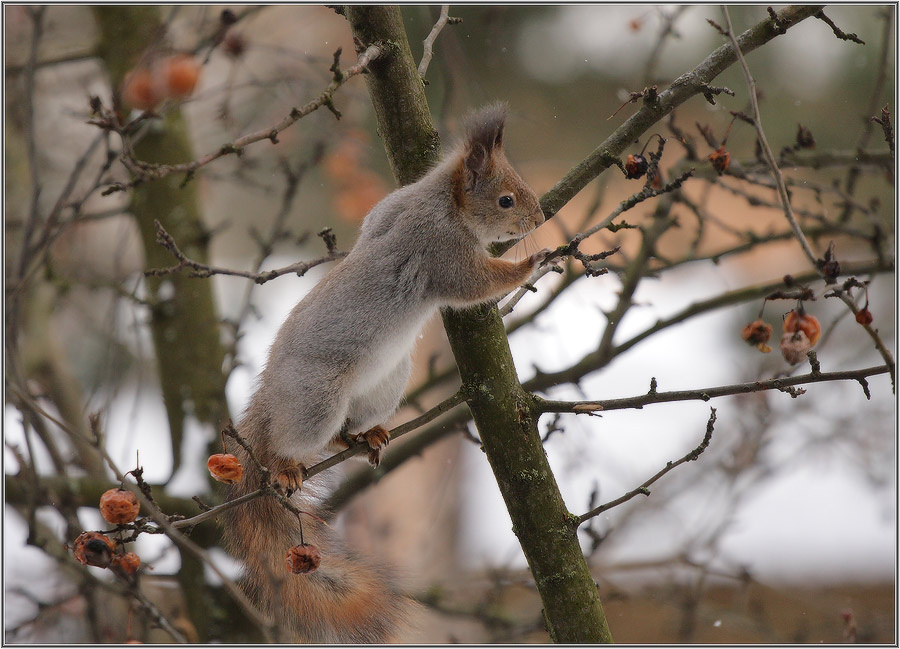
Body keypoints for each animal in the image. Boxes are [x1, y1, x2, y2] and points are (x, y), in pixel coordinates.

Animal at [223, 103, 547, 643]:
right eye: (505, 199)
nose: (539, 217)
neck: (442, 203)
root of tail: (270, 398)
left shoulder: (389, 208)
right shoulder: (442, 252)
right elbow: (477, 283)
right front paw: (537, 261)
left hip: (385, 385)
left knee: (343, 431)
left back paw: (364, 439)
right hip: (317, 398)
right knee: (291, 440)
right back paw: (286, 464)